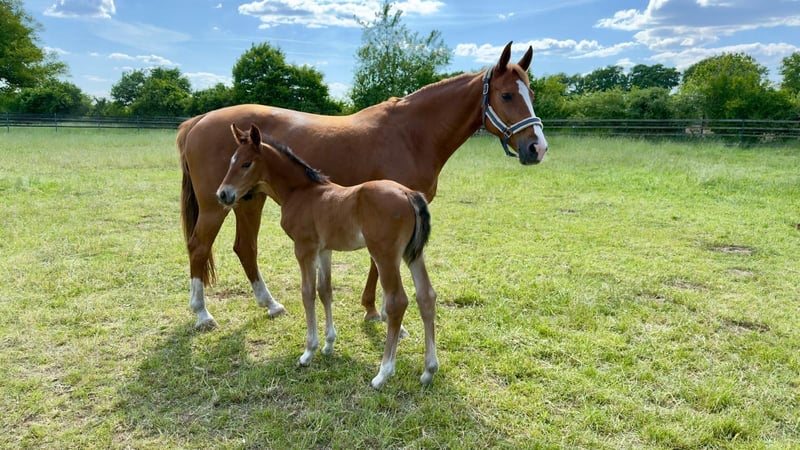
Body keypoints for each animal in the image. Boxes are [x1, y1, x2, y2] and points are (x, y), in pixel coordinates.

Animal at [178, 41, 548, 330]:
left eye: (530, 93)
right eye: (506, 95)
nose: (537, 148)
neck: (411, 134)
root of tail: (198, 121)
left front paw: (373, 308)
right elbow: (379, 263)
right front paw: (376, 311)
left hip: (247, 200)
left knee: (245, 248)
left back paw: (270, 304)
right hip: (217, 204)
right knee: (199, 246)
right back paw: (202, 314)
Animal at [218, 123, 438, 389]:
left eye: (246, 163)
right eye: (231, 161)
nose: (223, 194)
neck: (300, 192)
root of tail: (408, 194)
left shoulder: (304, 249)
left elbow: (307, 293)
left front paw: (308, 351)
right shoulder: (324, 250)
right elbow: (325, 291)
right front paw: (329, 344)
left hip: (385, 255)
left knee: (398, 302)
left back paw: (383, 373)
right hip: (413, 254)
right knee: (426, 296)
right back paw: (428, 370)